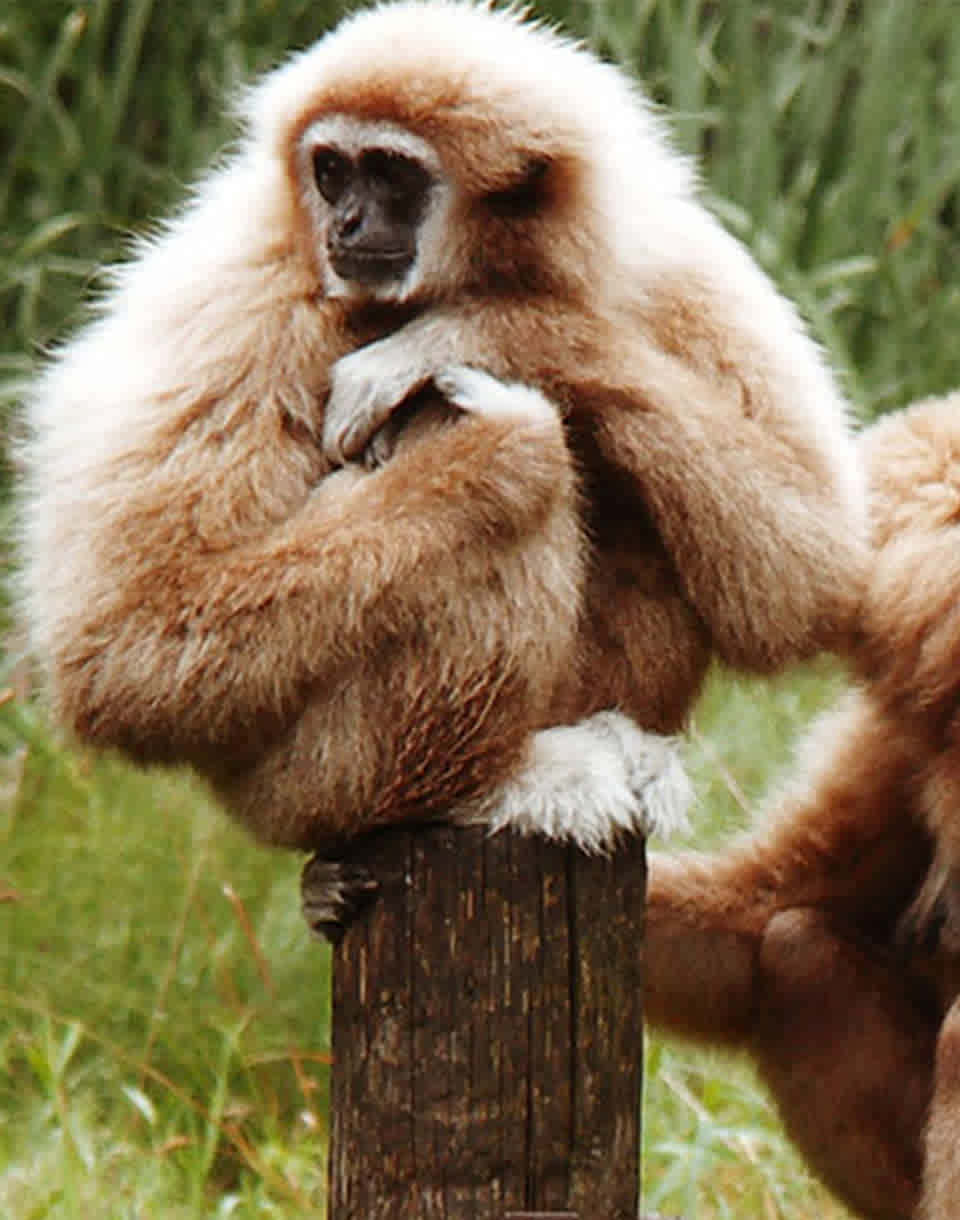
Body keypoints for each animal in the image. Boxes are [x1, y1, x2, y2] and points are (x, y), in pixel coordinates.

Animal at [18, 0, 864, 933]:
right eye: (331, 170)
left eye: (389, 173)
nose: (346, 224)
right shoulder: (243, 295)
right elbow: (124, 649)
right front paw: (501, 445)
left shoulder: (669, 259)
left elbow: (809, 574)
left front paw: (476, 330)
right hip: (303, 778)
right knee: (481, 470)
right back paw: (482, 785)